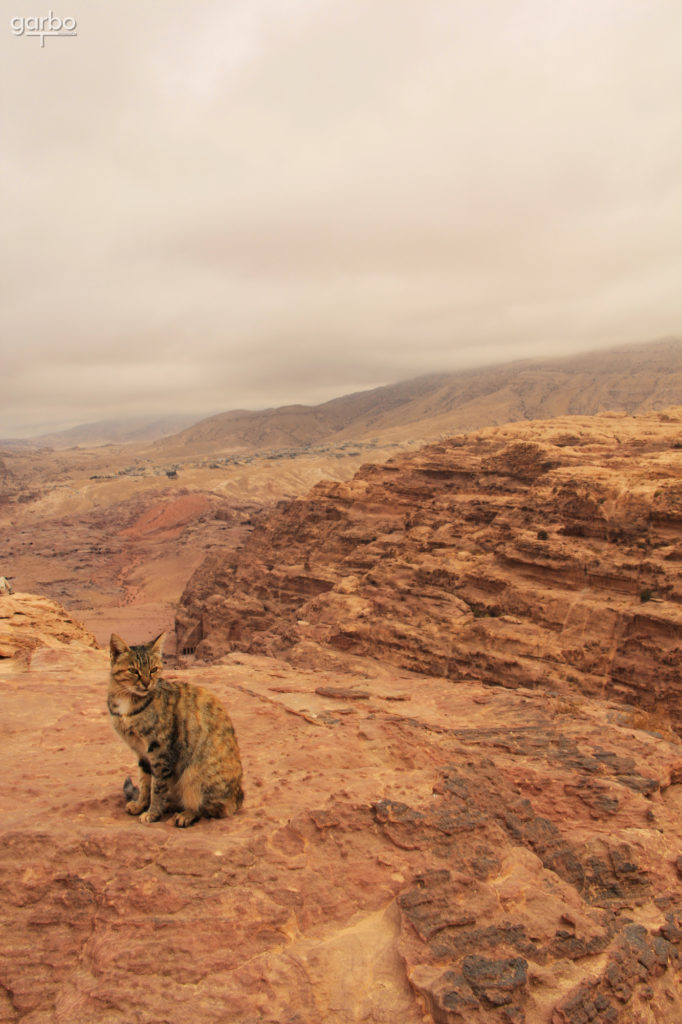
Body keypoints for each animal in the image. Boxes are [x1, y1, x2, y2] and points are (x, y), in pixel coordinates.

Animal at [107, 626, 242, 827]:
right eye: (133, 670)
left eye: (154, 669)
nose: (146, 683)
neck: (127, 700)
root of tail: (239, 797)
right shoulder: (142, 752)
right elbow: (145, 781)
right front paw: (141, 804)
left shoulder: (160, 750)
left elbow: (157, 786)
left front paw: (152, 813)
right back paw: (171, 805)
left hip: (194, 774)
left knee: (214, 808)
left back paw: (185, 814)